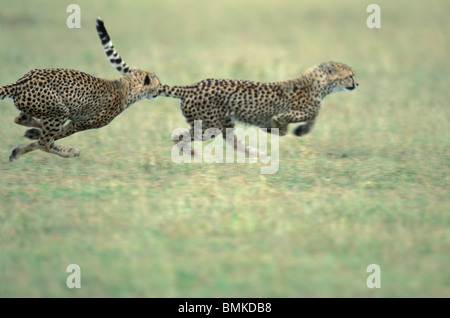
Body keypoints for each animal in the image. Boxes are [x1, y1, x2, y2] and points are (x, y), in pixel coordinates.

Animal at [0, 67, 159, 161]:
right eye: (157, 84)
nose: (158, 92)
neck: (126, 88)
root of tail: (20, 83)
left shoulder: (75, 122)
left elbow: (49, 136)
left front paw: (27, 140)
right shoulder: (79, 124)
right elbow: (55, 136)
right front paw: (21, 148)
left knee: (21, 119)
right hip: (61, 112)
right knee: (44, 143)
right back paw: (70, 151)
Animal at [96, 18, 358, 155]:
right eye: (350, 75)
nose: (357, 83)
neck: (320, 85)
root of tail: (193, 86)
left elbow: (313, 117)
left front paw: (299, 131)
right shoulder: (288, 112)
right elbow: (289, 120)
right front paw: (281, 130)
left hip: (224, 123)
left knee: (232, 142)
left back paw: (256, 155)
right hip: (208, 126)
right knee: (179, 135)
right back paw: (192, 152)